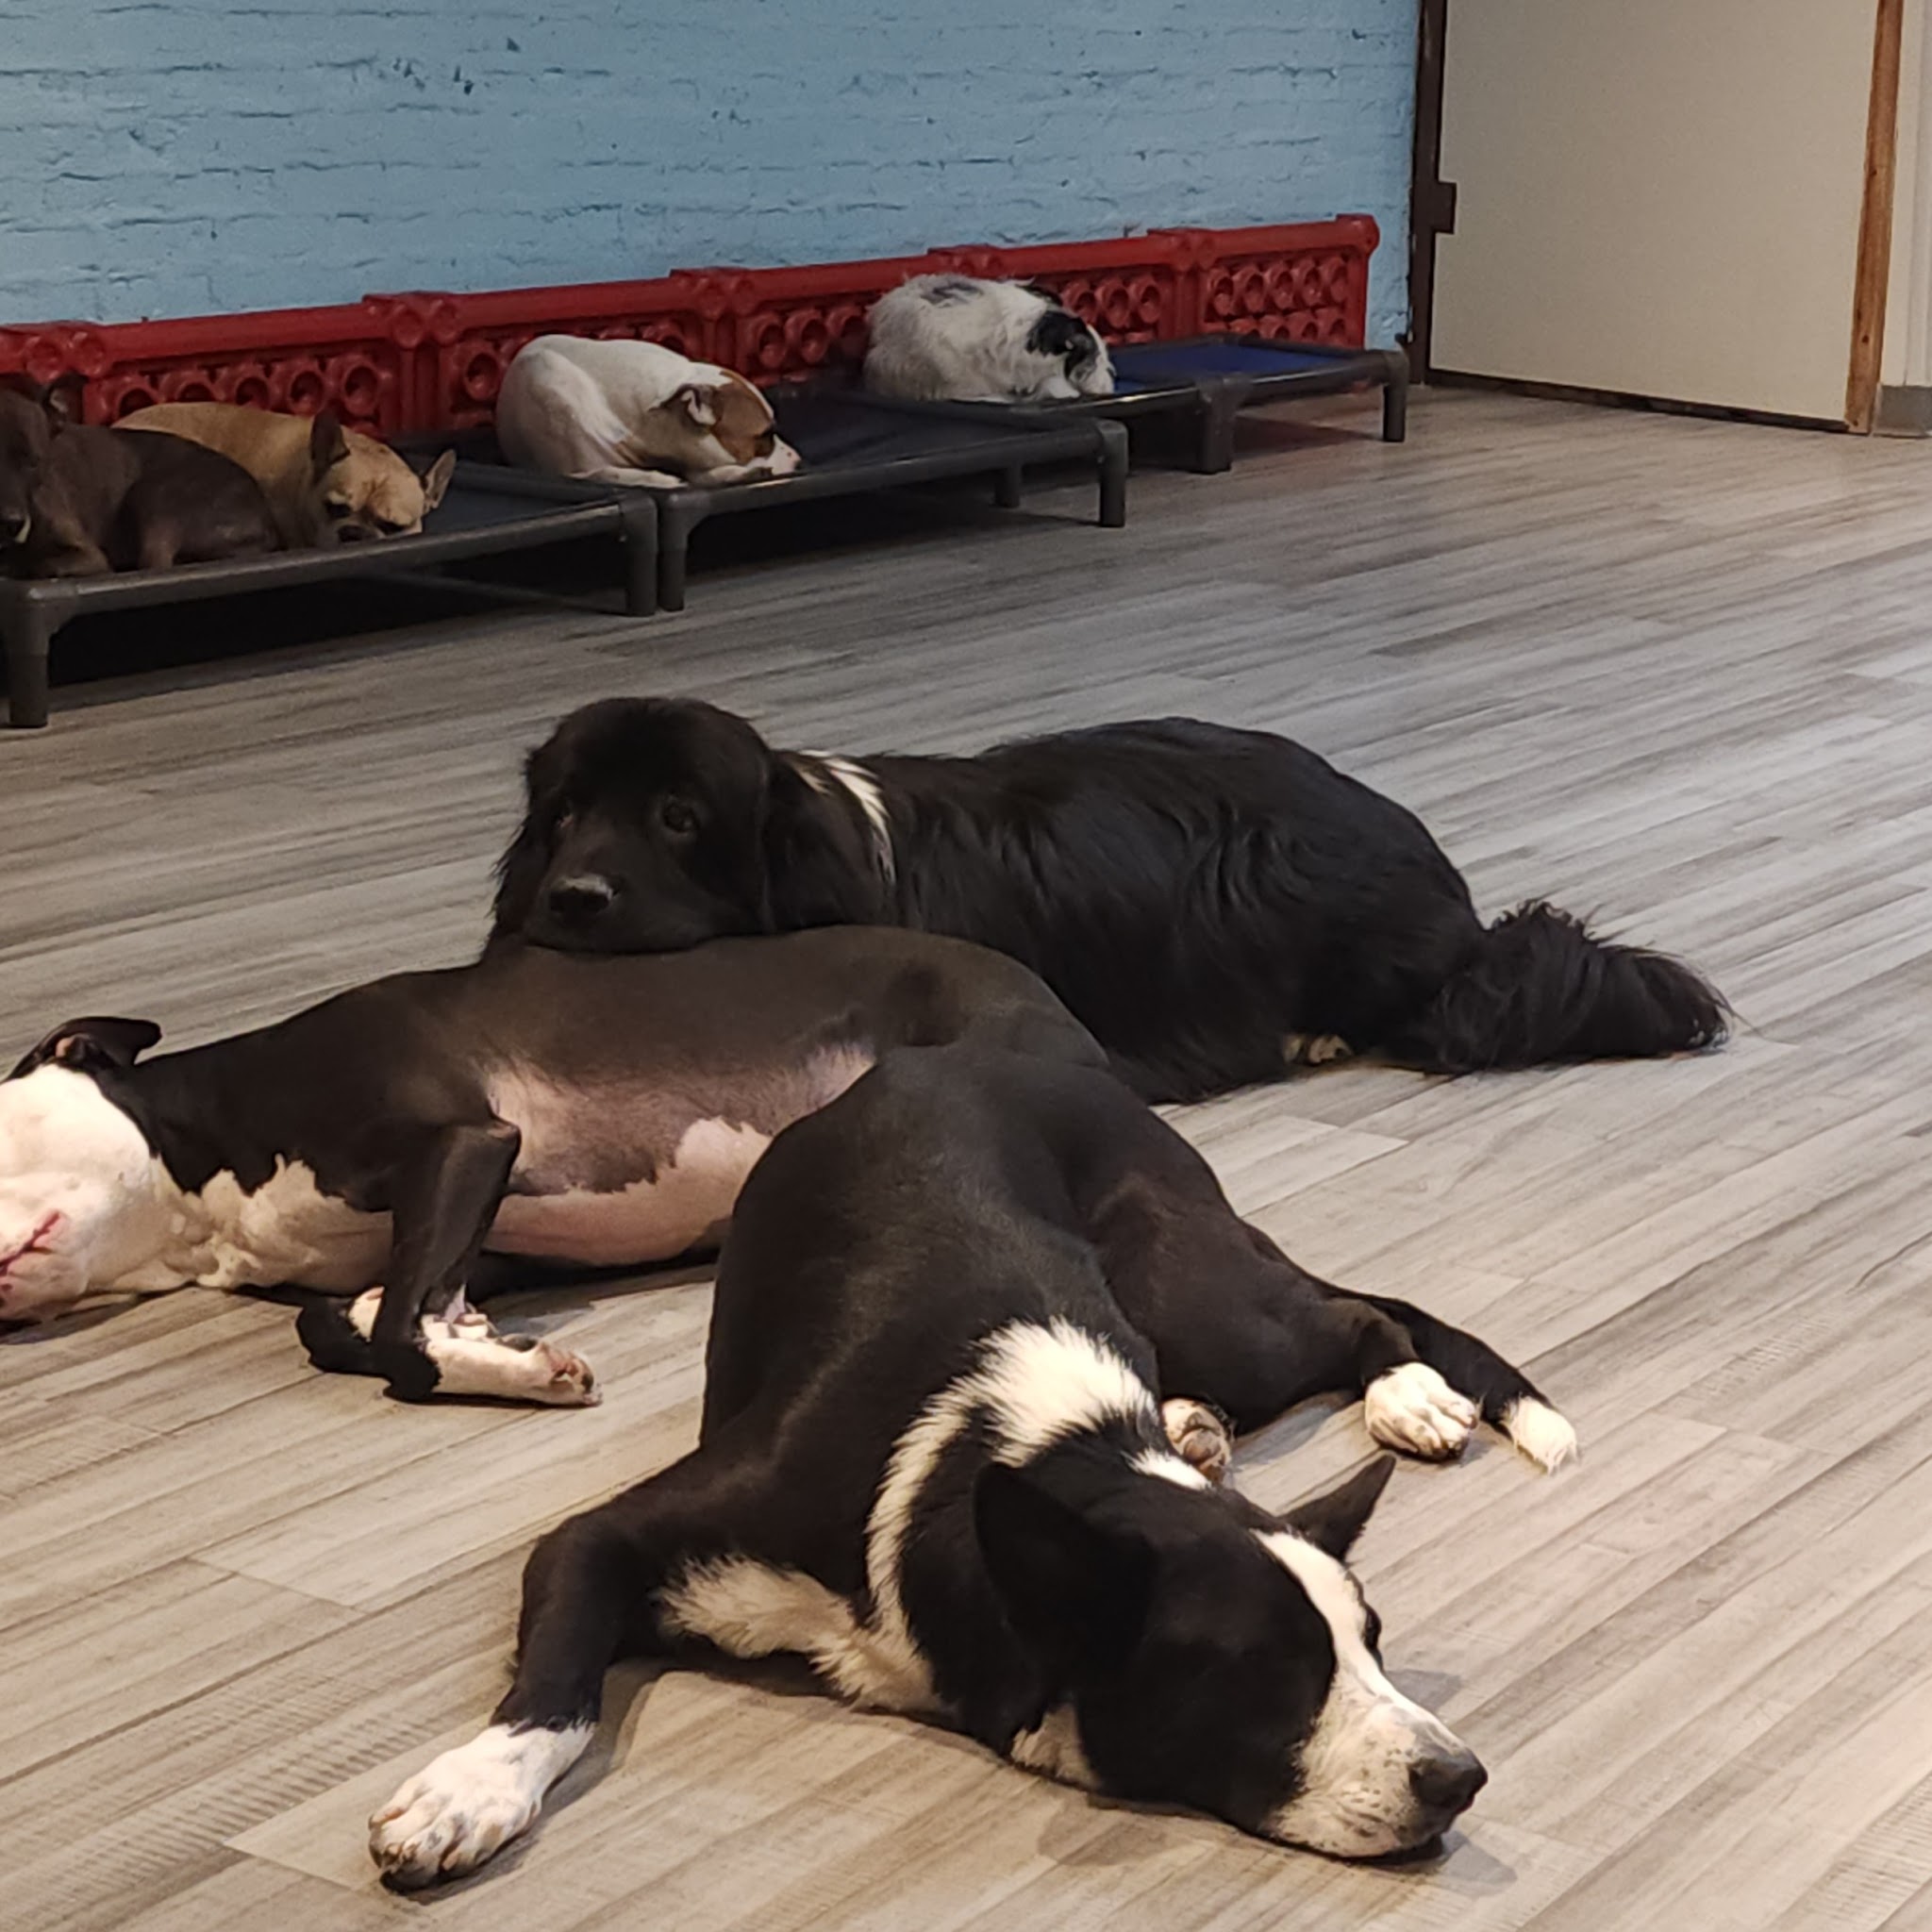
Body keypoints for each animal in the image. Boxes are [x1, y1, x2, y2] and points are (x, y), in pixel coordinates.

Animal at [0, 929, 1097, 1404]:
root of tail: (1057, 1006)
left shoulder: (464, 1143)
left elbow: (395, 1335)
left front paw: (496, 1367)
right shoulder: (478, 1236)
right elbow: (356, 1320)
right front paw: (491, 1351)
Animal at [370, 1042, 1574, 1889]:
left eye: (1372, 1642)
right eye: (1268, 1665)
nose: (1460, 1778)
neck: (1031, 1457)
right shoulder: (601, 1537)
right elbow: (559, 1682)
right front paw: (466, 1790)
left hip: (1190, 1284)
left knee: (1353, 1315)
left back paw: (1403, 1390)